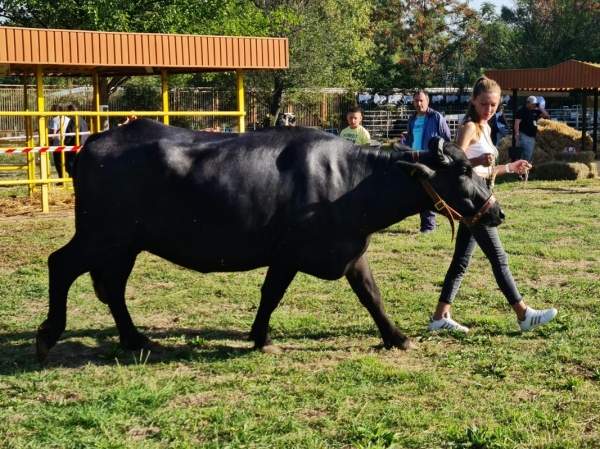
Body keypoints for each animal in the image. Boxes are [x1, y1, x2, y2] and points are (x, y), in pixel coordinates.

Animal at [36, 118, 502, 360]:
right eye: (463, 170)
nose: (495, 210)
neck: (352, 181)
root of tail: (93, 142)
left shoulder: (346, 252)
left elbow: (369, 294)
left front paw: (395, 336)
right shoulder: (293, 253)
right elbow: (274, 294)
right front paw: (261, 337)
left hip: (124, 245)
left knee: (112, 288)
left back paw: (134, 339)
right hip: (102, 236)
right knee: (61, 263)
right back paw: (48, 334)